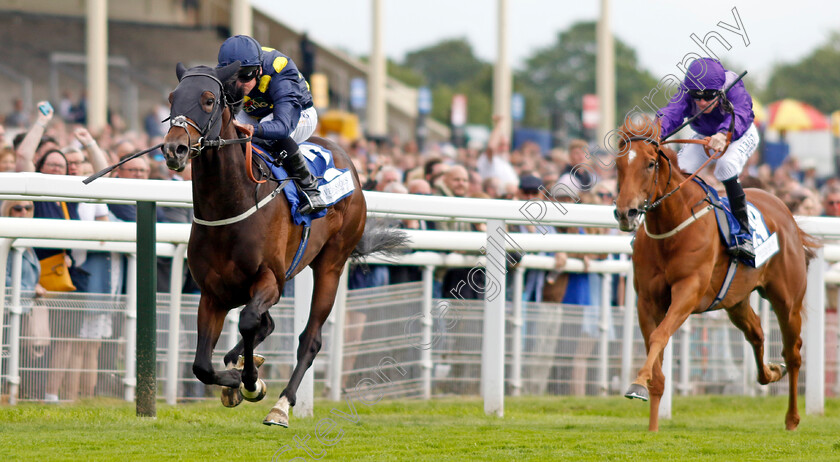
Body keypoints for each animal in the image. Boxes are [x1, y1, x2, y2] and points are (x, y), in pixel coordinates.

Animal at [162, 63, 404, 428]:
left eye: (208, 100)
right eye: (172, 98)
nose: (173, 149)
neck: (229, 206)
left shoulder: (270, 280)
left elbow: (249, 321)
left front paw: (249, 382)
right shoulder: (212, 294)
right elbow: (202, 365)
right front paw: (234, 379)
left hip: (331, 265)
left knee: (310, 339)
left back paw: (281, 405)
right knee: (268, 326)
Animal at [612, 114, 816, 430]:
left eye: (650, 163)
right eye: (618, 164)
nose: (626, 213)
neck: (672, 224)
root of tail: (785, 210)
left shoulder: (688, 291)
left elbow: (659, 336)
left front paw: (637, 384)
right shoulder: (646, 299)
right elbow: (655, 355)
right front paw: (652, 424)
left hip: (787, 300)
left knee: (793, 353)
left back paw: (792, 418)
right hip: (736, 301)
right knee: (757, 333)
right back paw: (771, 372)